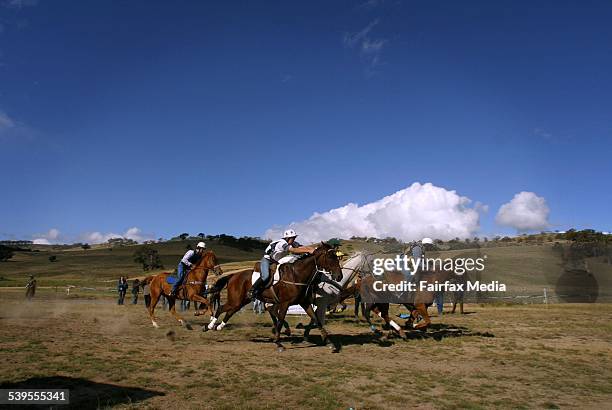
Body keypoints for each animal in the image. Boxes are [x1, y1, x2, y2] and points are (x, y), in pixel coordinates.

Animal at [208, 243, 344, 352]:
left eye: (337, 257)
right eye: (330, 257)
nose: (339, 276)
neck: (297, 275)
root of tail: (233, 276)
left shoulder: (304, 303)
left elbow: (317, 320)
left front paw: (330, 343)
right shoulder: (284, 303)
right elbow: (279, 321)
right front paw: (278, 343)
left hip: (241, 301)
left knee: (228, 311)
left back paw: (218, 326)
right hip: (236, 300)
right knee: (221, 308)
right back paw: (211, 325)